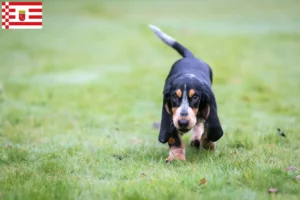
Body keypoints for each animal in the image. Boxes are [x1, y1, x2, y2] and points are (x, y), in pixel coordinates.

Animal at [149, 24, 224, 162]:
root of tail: (190, 57)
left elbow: (209, 130)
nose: (183, 123)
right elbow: (174, 139)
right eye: (174, 96)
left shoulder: (210, 106)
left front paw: (208, 144)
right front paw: (176, 158)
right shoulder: (171, 114)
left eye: (195, 97)